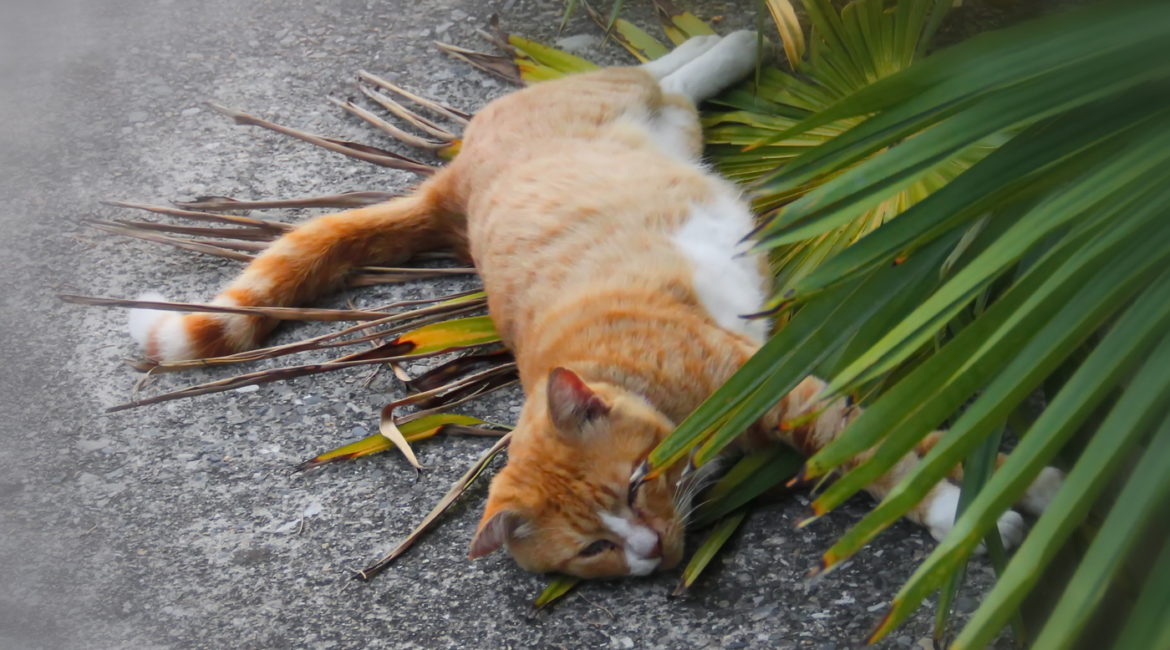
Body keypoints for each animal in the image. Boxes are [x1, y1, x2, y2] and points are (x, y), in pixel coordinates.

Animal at [125, 31, 1062, 579]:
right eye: (595, 548)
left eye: (638, 481)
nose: (650, 551)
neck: (639, 380)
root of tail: (451, 180)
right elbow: (874, 448)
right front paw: (998, 495)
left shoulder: (774, 380)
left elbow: (873, 445)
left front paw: (982, 501)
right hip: (668, 123)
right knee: (671, 78)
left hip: (625, 102)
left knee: (660, 68)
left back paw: (744, 33)